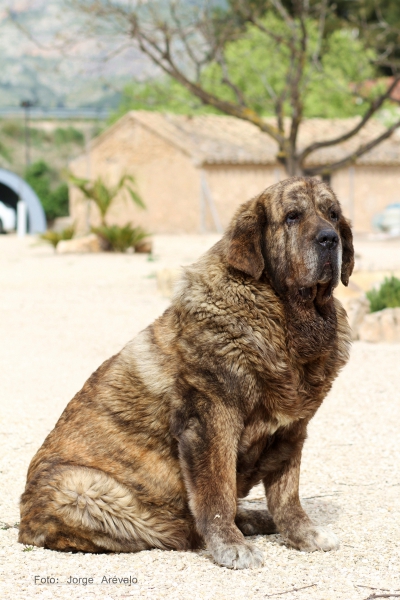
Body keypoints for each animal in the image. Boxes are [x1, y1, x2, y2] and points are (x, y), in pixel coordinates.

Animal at [20, 177, 354, 568]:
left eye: (333, 215)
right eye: (292, 216)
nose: (329, 238)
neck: (285, 318)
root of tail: (23, 523)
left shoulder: (291, 428)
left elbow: (287, 495)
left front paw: (304, 534)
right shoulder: (210, 420)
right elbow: (216, 492)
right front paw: (231, 546)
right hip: (79, 487)